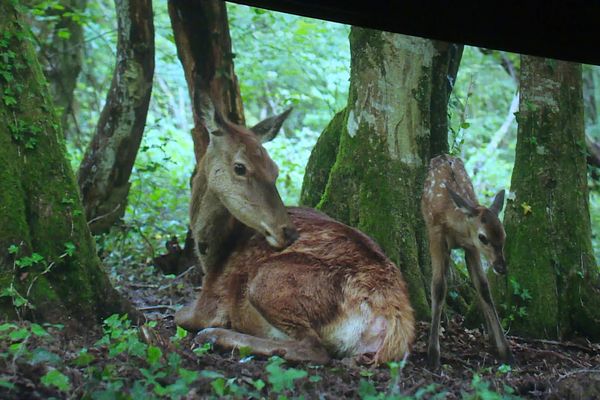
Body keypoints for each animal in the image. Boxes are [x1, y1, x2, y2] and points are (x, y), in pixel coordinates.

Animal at [176, 101, 414, 366]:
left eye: (275, 169)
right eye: (240, 167)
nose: (288, 231)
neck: (214, 256)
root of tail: (394, 320)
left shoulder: (209, 303)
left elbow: (179, 314)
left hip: (268, 280)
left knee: (313, 348)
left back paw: (215, 336)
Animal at [420, 153, 512, 368]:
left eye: (504, 236)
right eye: (483, 237)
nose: (501, 267)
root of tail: (443, 155)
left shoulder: (471, 248)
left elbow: (484, 287)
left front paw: (504, 349)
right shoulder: (435, 235)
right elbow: (438, 287)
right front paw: (433, 354)